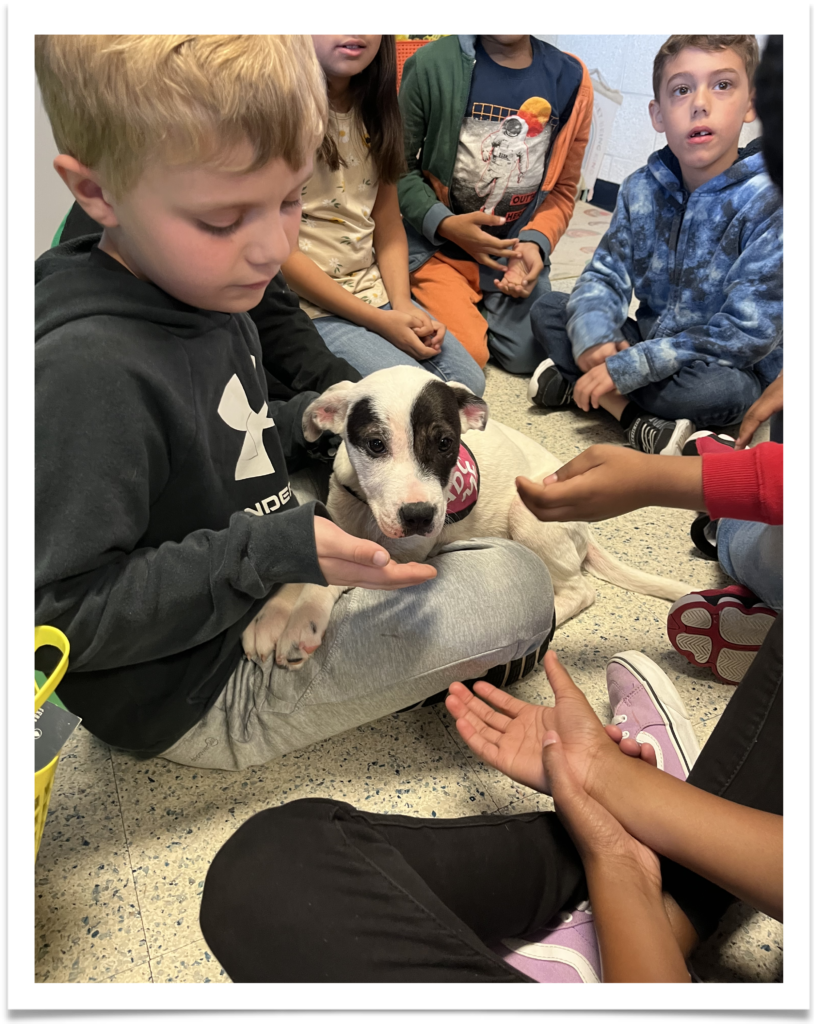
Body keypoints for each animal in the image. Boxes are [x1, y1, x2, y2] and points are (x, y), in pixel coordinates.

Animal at [241, 368, 692, 671]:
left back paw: (547, 620)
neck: (367, 514)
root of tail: (586, 531)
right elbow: (305, 561)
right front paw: (272, 615)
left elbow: (337, 577)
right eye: (375, 444)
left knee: (580, 591)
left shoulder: (402, 560)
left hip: (529, 514)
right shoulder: (338, 524)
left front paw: (304, 619)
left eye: (446, 443)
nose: (419, 516)